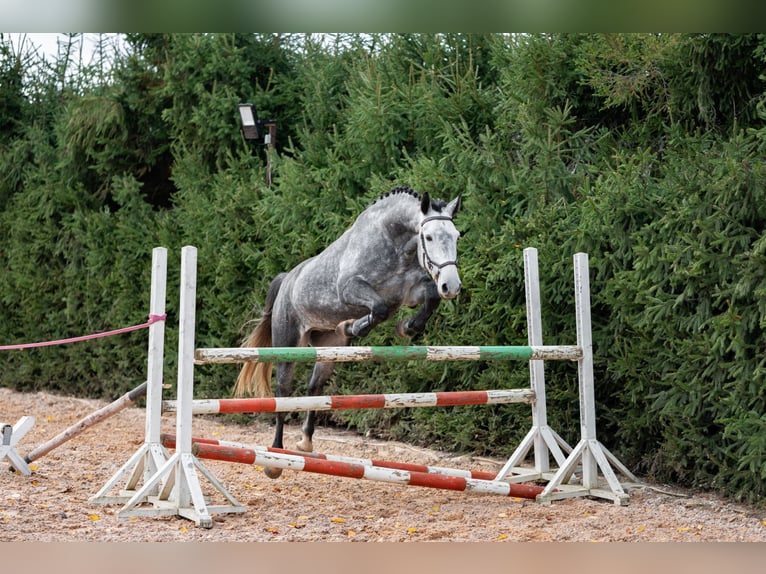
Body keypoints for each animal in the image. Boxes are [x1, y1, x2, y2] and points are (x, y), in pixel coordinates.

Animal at [234, 187, 462, 480]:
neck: (395, 243)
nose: (452, 286)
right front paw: (354, 326)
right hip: (288, 343)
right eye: (429, 237)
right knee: (283, 393)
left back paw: (305, 442)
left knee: (314, 387)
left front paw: (406, 327)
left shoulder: (410, 292)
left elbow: (428, 297)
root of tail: (287, 279)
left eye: (456, 236)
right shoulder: (351, 289)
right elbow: (380, 308)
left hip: (328, 348)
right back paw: (275, 459)